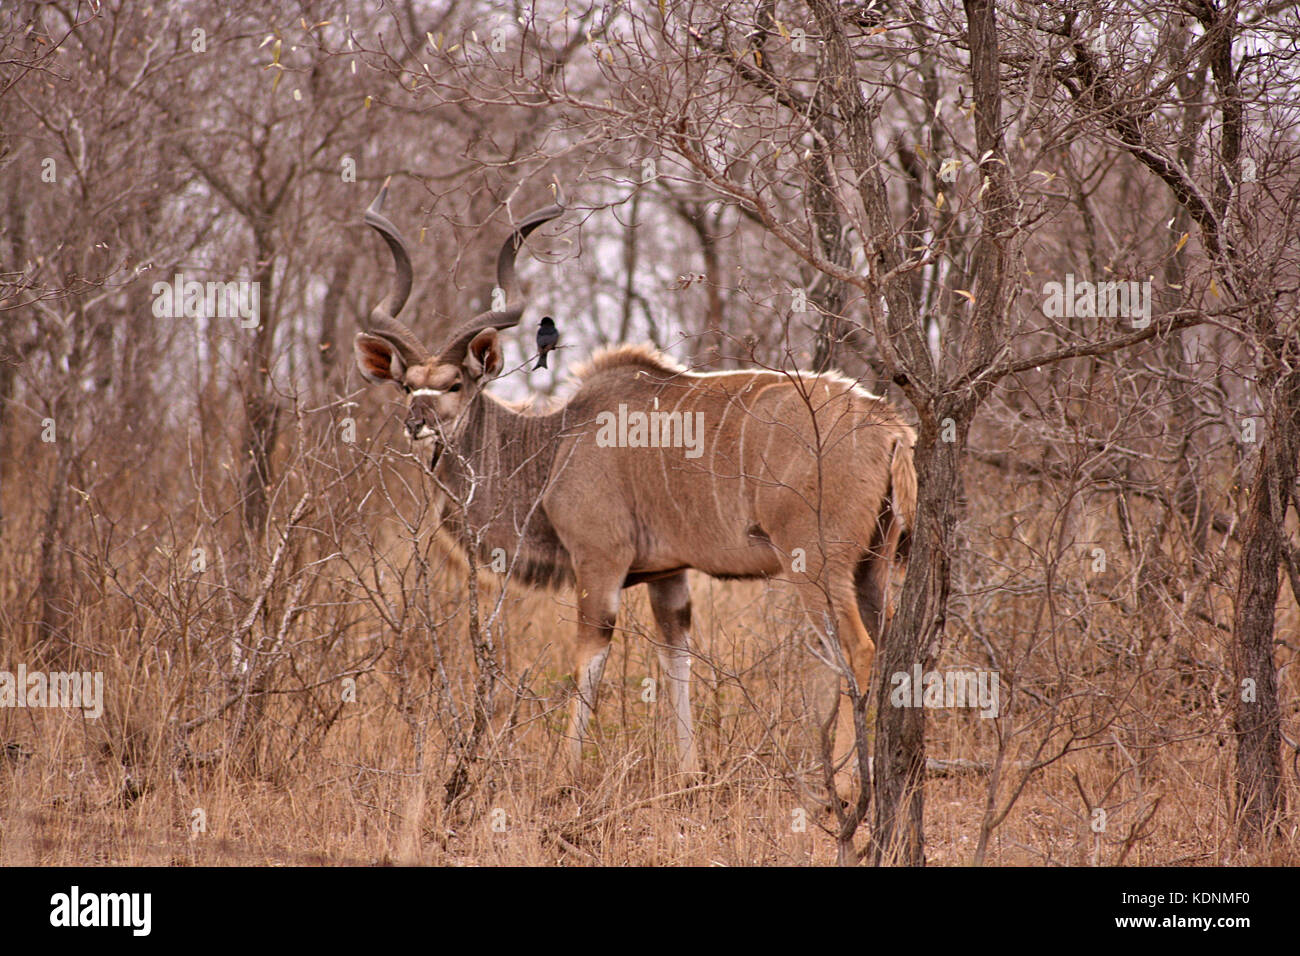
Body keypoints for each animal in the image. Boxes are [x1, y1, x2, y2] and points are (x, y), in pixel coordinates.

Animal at [356, 183, 920, 790]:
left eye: (455, 384)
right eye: (407, 385)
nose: (416, 422)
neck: (552, 445)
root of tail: (890, 429)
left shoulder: (599, 561)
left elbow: (588, 660)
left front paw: (565, 775)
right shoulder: (668, 574)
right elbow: (677, 656)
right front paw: (690, 771)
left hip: (815, 564)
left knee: (858, 648)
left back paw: (846, 783)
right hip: (872, 565)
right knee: (890, 643)